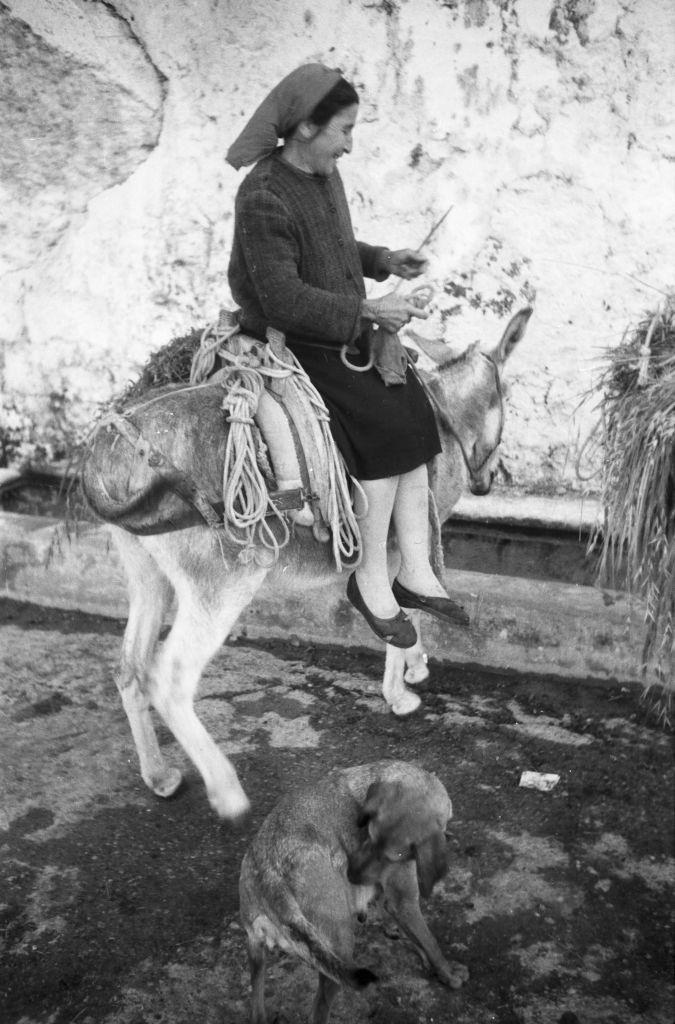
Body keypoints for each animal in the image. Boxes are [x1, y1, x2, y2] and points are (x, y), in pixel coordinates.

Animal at [238, 761, 469, 1024]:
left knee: (257, 1009)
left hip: (257, 952)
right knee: (318, 1012)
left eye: (392, 854)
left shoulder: (392, 902)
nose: (351, 876)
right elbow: (430, 941)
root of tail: (270, 877)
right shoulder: (404, 901)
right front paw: (447, 972)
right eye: (368, 833)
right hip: (341, 953)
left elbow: (415, 936)